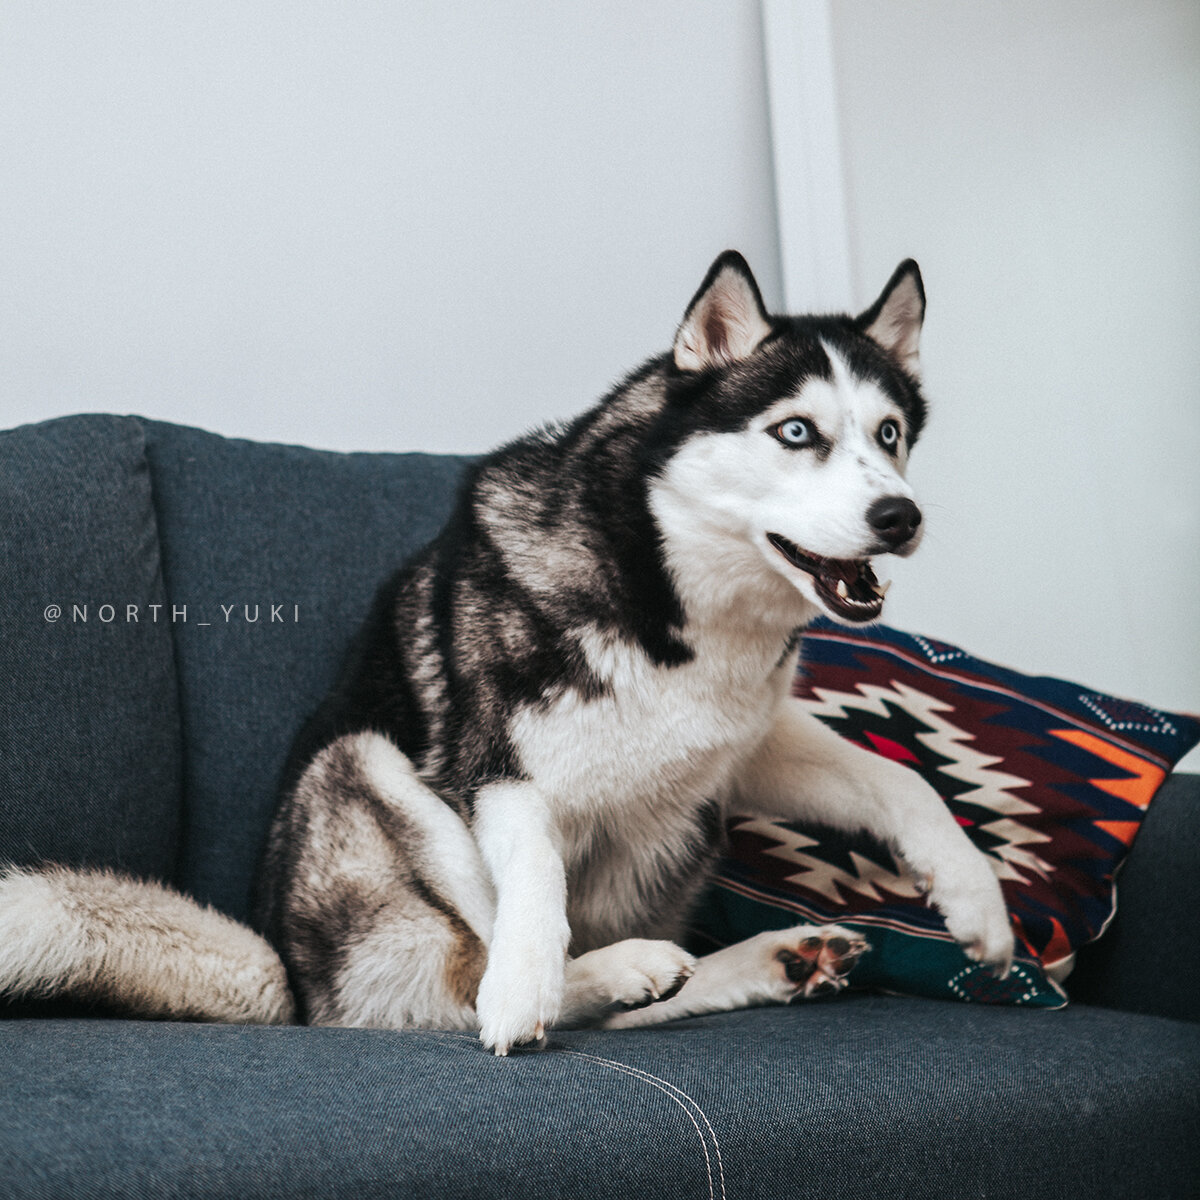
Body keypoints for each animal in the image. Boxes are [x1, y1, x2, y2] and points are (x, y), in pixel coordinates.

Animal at [0, 252, 1014, 1052]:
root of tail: (296, 987)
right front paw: (523, 992)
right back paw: (606, 973)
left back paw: (758, 961)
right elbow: (537, 892)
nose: (900, 516)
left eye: (889, 435)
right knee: (472, 973)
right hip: (366, 767)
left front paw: (976, 898)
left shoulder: (740, 743)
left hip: (688, 822)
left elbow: (901, 781)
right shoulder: (494, 768)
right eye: (796, 432)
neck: (664, 595)